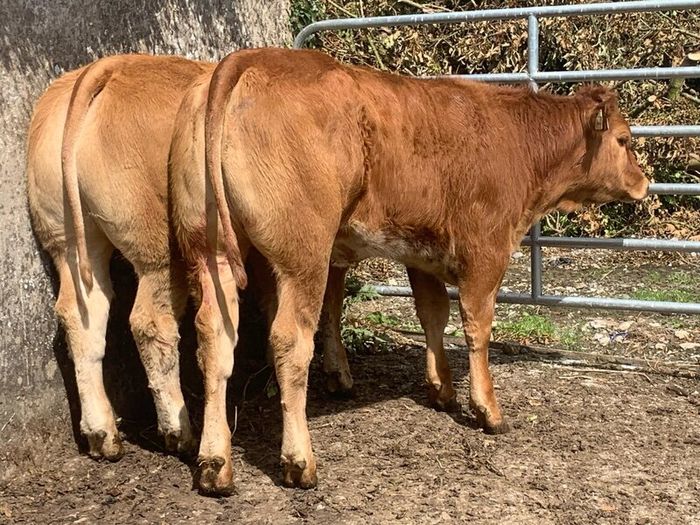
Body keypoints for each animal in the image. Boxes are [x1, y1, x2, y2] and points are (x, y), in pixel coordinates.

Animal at [169, 47, 649, 494]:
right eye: (624, 140)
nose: (645, 182)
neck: (518, 143)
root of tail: (249, 58)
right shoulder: (486, 252)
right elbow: (477, 327)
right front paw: (487, 409)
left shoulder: (423, 256)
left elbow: (433, 316)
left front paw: (441, 389)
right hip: (303, 256)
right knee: (290, 341)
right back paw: (299, 461)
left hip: (209, 250)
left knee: (214, 340)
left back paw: (215, 465)